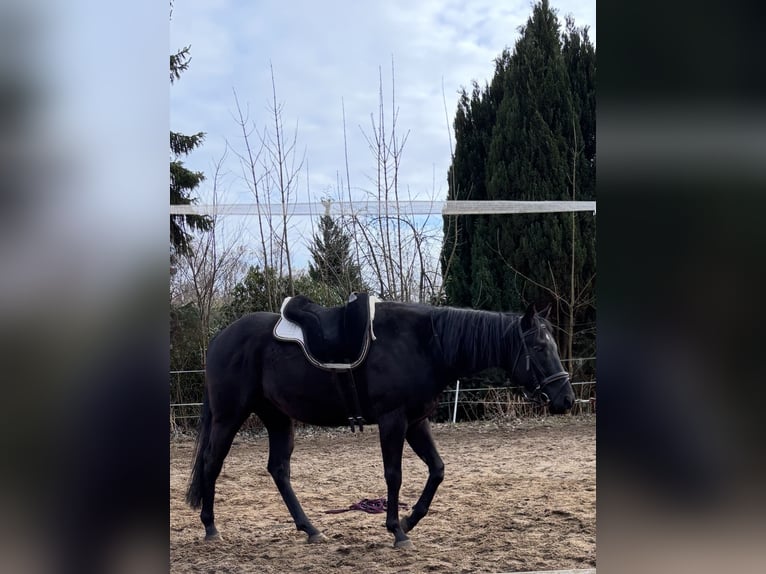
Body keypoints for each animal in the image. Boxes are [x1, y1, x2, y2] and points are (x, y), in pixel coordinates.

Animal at [186, 299, 575, 548]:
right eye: (539, 347)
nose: (566, 399)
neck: (425, 344)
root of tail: (220, 339)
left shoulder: (416, 422)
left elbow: (437, 469)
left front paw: (408, 521)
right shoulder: (393, 420)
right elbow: (394, 475)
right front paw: (396, 531)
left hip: (278, 417)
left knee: (279, 470)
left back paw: (310, 529)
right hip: (229, 417)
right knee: (212, 464)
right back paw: (211, 528)